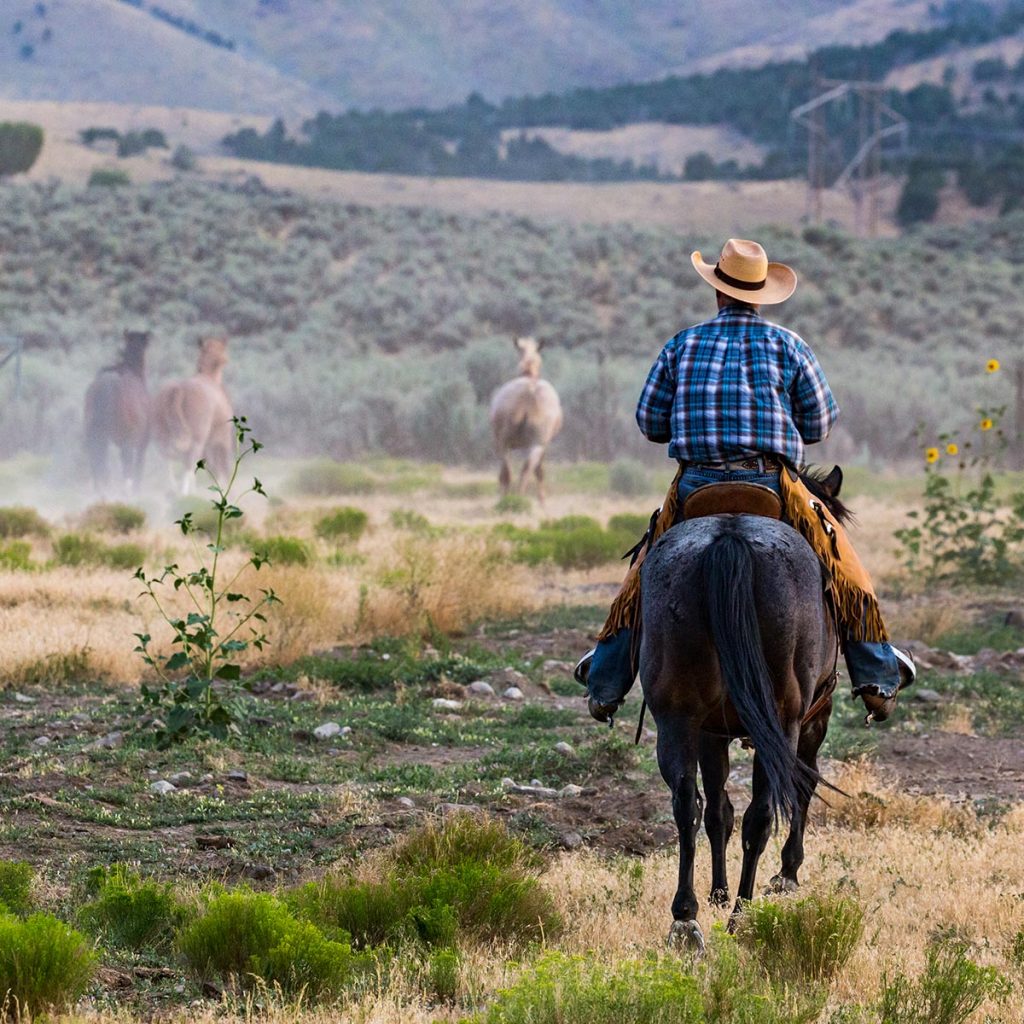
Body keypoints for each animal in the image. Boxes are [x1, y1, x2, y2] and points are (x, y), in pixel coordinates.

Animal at [82, 329, 150, 493]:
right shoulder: (141, 444)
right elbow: (137, 470)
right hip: (126, 441)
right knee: (125, 468)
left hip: (95, 437)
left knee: (97, 466)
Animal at [151, 337, 234, 493]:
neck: (210, 377)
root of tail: (179, 388)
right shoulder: (222, 439)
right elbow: (222, 468)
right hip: (197, 439)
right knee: (188, 464)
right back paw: (184, 492)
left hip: (162, 436)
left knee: (168, 460)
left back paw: (173, 488)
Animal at [489, 335, 565, 499]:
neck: (529, 374)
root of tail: (529, 392)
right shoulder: (544, 445)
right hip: (534, 444)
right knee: (527, 470)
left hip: (505, 442)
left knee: (508, 473)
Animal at [638, 468, 847, 950]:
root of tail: (729, 539)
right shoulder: (813, 722)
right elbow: (801, 788)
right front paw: (787, 874)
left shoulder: (710, 733)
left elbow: (717, 811)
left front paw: (715, 893)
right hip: (784, 721)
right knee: (761, 815)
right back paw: (742, 914)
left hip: (677, 717)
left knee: (687, 803)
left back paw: (686, 918)